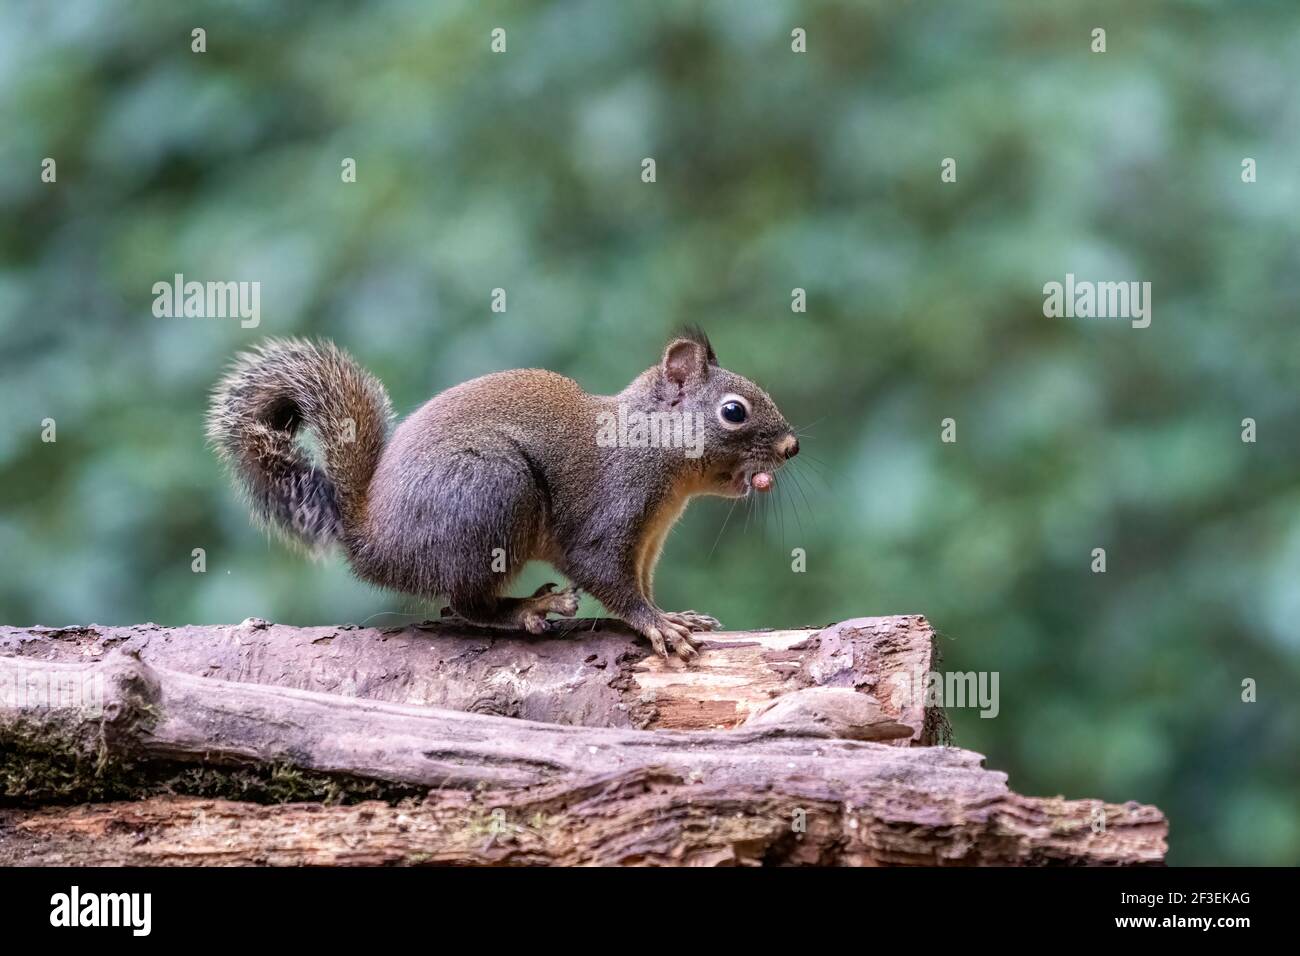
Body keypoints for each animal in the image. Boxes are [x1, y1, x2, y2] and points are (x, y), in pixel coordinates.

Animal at [204, 329, 795, 658]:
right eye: (734, 411)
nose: (791, 447)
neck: (649, 449)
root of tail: (372, 542)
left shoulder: (648, 542)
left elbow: (643, 584)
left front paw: (675, 614)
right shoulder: (611, 512)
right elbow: (607, 575)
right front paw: (658, 625)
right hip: (494, 494)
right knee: (466, 605)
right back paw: (529, 608)